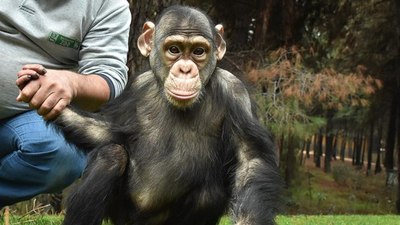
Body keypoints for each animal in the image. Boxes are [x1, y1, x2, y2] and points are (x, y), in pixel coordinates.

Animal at [54, 4, 284, 225]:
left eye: (198, 51)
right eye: (174, 49)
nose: (185, 69)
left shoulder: (235, 93)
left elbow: (250, 160)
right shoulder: (137, 87)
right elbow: (108, 133)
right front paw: (53, 98)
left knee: (209, 194)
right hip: (122, 217)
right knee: (111, 156)